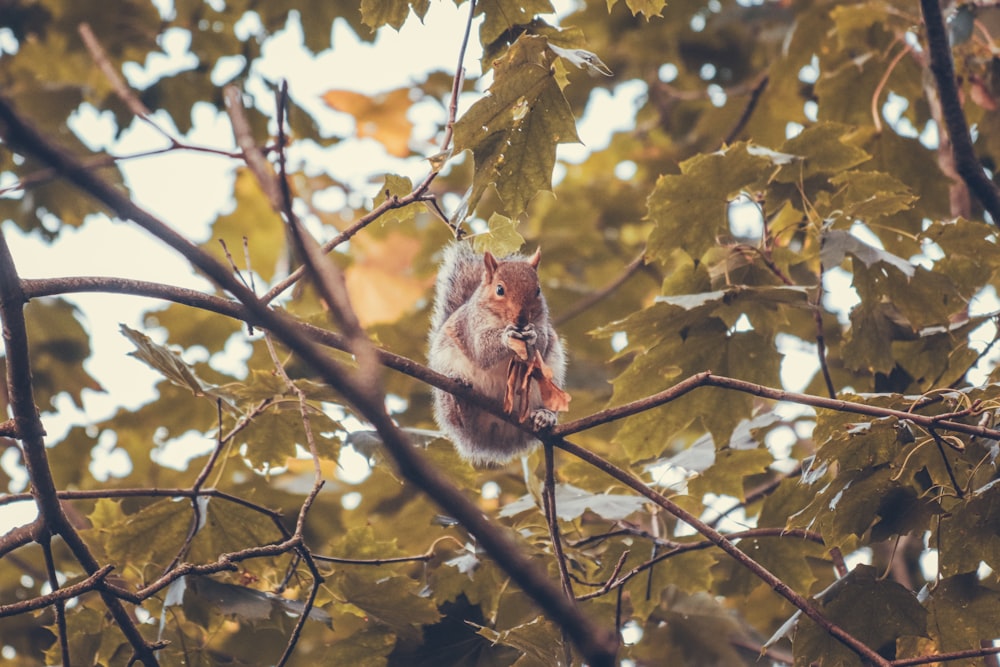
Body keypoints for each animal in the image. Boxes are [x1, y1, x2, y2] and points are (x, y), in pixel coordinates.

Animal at [428, 243, 568, 468]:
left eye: (538, 290)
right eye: (500, 289)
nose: (521, 319)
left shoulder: (543, 328)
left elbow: (542, 343)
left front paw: (532, 336)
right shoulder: (472, 325)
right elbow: (482, 350)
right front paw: (505, 336)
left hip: (551, 380)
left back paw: (545, 416)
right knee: (461, 420)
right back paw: (460, 397)